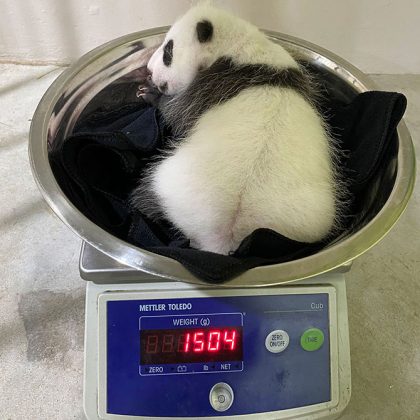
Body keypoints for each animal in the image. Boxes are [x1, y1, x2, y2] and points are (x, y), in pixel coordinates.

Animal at [132, 4, 344, 256]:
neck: (240, 45)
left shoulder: (212, 84)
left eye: (168, 52)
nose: (149, 69)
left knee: (144, 198)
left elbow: (176, 113)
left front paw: (150, 93)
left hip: (165, 185)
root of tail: (226, 237)